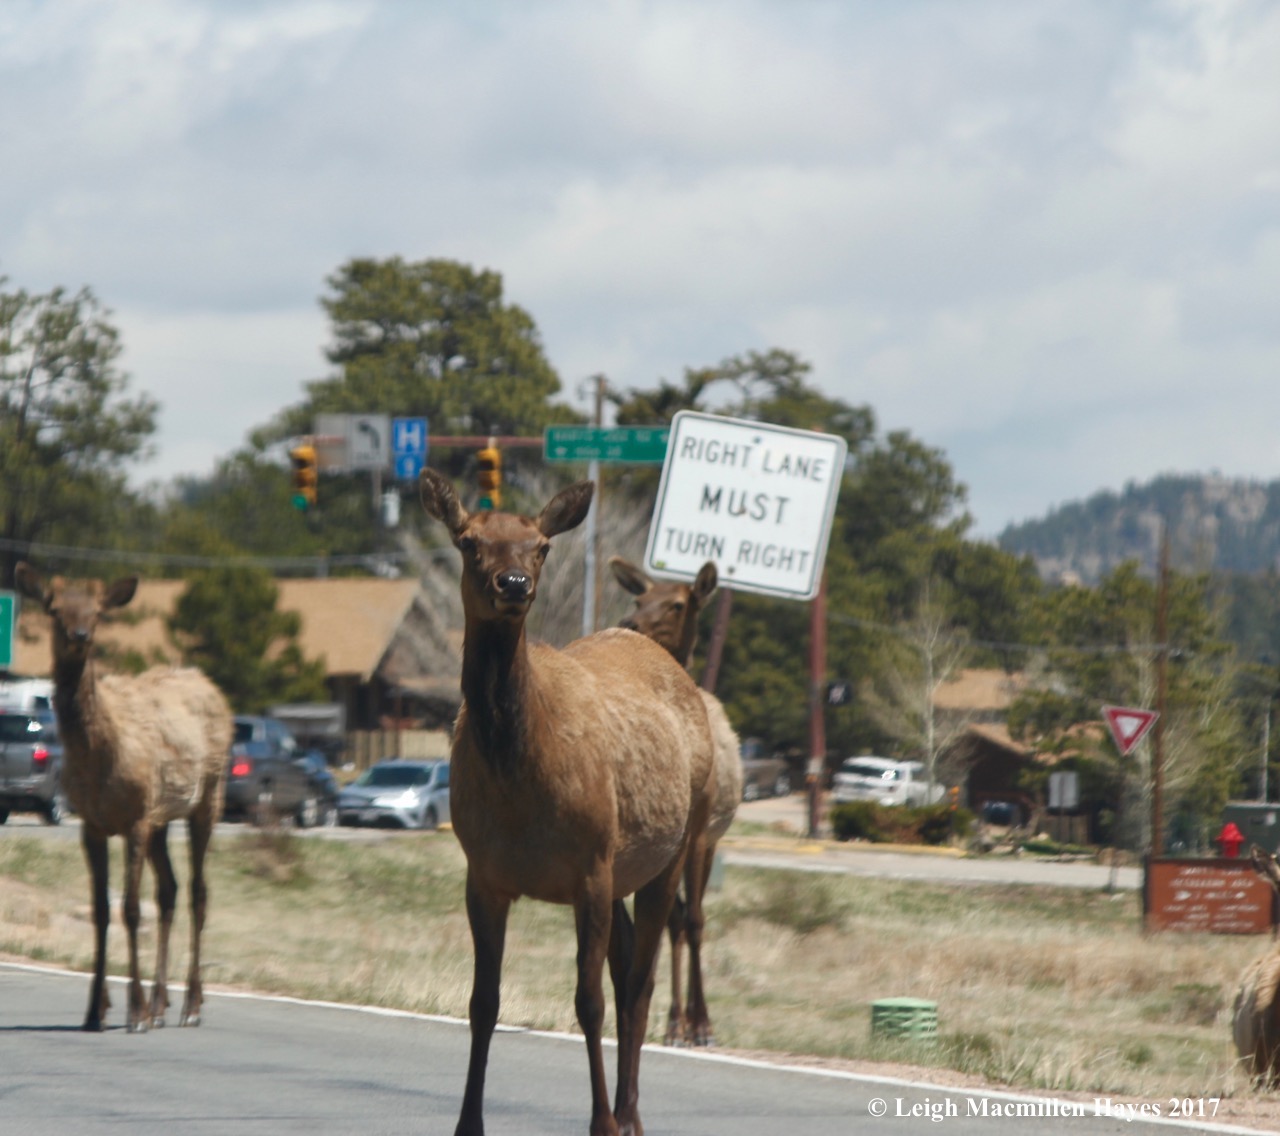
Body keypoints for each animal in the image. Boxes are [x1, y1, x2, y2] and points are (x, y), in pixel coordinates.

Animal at [13, 564, 233, 1033]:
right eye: (54, 609)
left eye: (97, 612)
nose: (79, 634)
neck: (99, 754)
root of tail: (209, 684)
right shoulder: (93, 823)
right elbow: (100, 910)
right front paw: (95, 1011)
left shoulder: (134, 818)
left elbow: (130, 909)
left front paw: (133, 1012)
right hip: (161, 817)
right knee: (169, 889)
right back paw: (162, 1002)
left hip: (208, 795)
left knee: (198, 891)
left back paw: (190, 1006)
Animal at [419, 471, 714, 1136]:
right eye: (469, 542)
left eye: (541, 546)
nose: (513, 584)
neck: (519, 785)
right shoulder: (484, 873)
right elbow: (483, 1002)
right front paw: (468, 1123)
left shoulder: (589, 868)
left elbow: (589, 1002)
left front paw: (601, 1121)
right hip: (626, 869)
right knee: (629, 969)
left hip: (675, 847)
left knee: (640, 983)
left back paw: (629, 1114)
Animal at [609, 556, 742, 1048]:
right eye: (640, 599)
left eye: (679, 604)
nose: (631, 622)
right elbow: (672, 920)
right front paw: (676, 1020)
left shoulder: (701, 833)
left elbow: (698, 919)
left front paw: (703, 1023)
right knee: (677, 918)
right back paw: (674, 1020)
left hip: (707, 839)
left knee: (690, 918)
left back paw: (691, 1020)